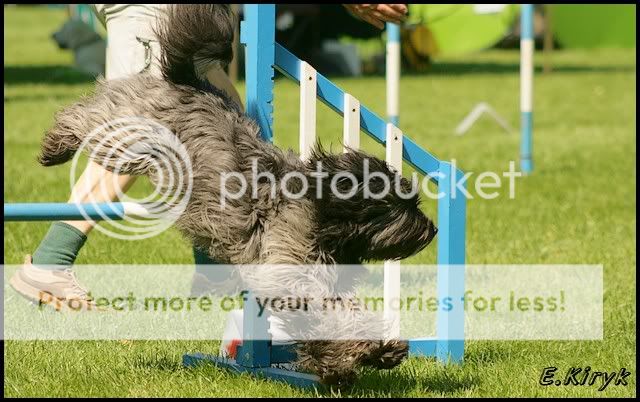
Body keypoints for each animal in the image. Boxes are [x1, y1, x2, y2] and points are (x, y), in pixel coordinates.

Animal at [38, 5, 437, 386]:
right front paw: (354, 357)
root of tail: (188, 84)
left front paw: (370, 354)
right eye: (404, 206)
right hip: (129, 138)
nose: (433, 230)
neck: (323, 214)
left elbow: (341, 313)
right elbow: (323, 315)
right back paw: (55, 145)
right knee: (88, 114)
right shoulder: (288, 270)